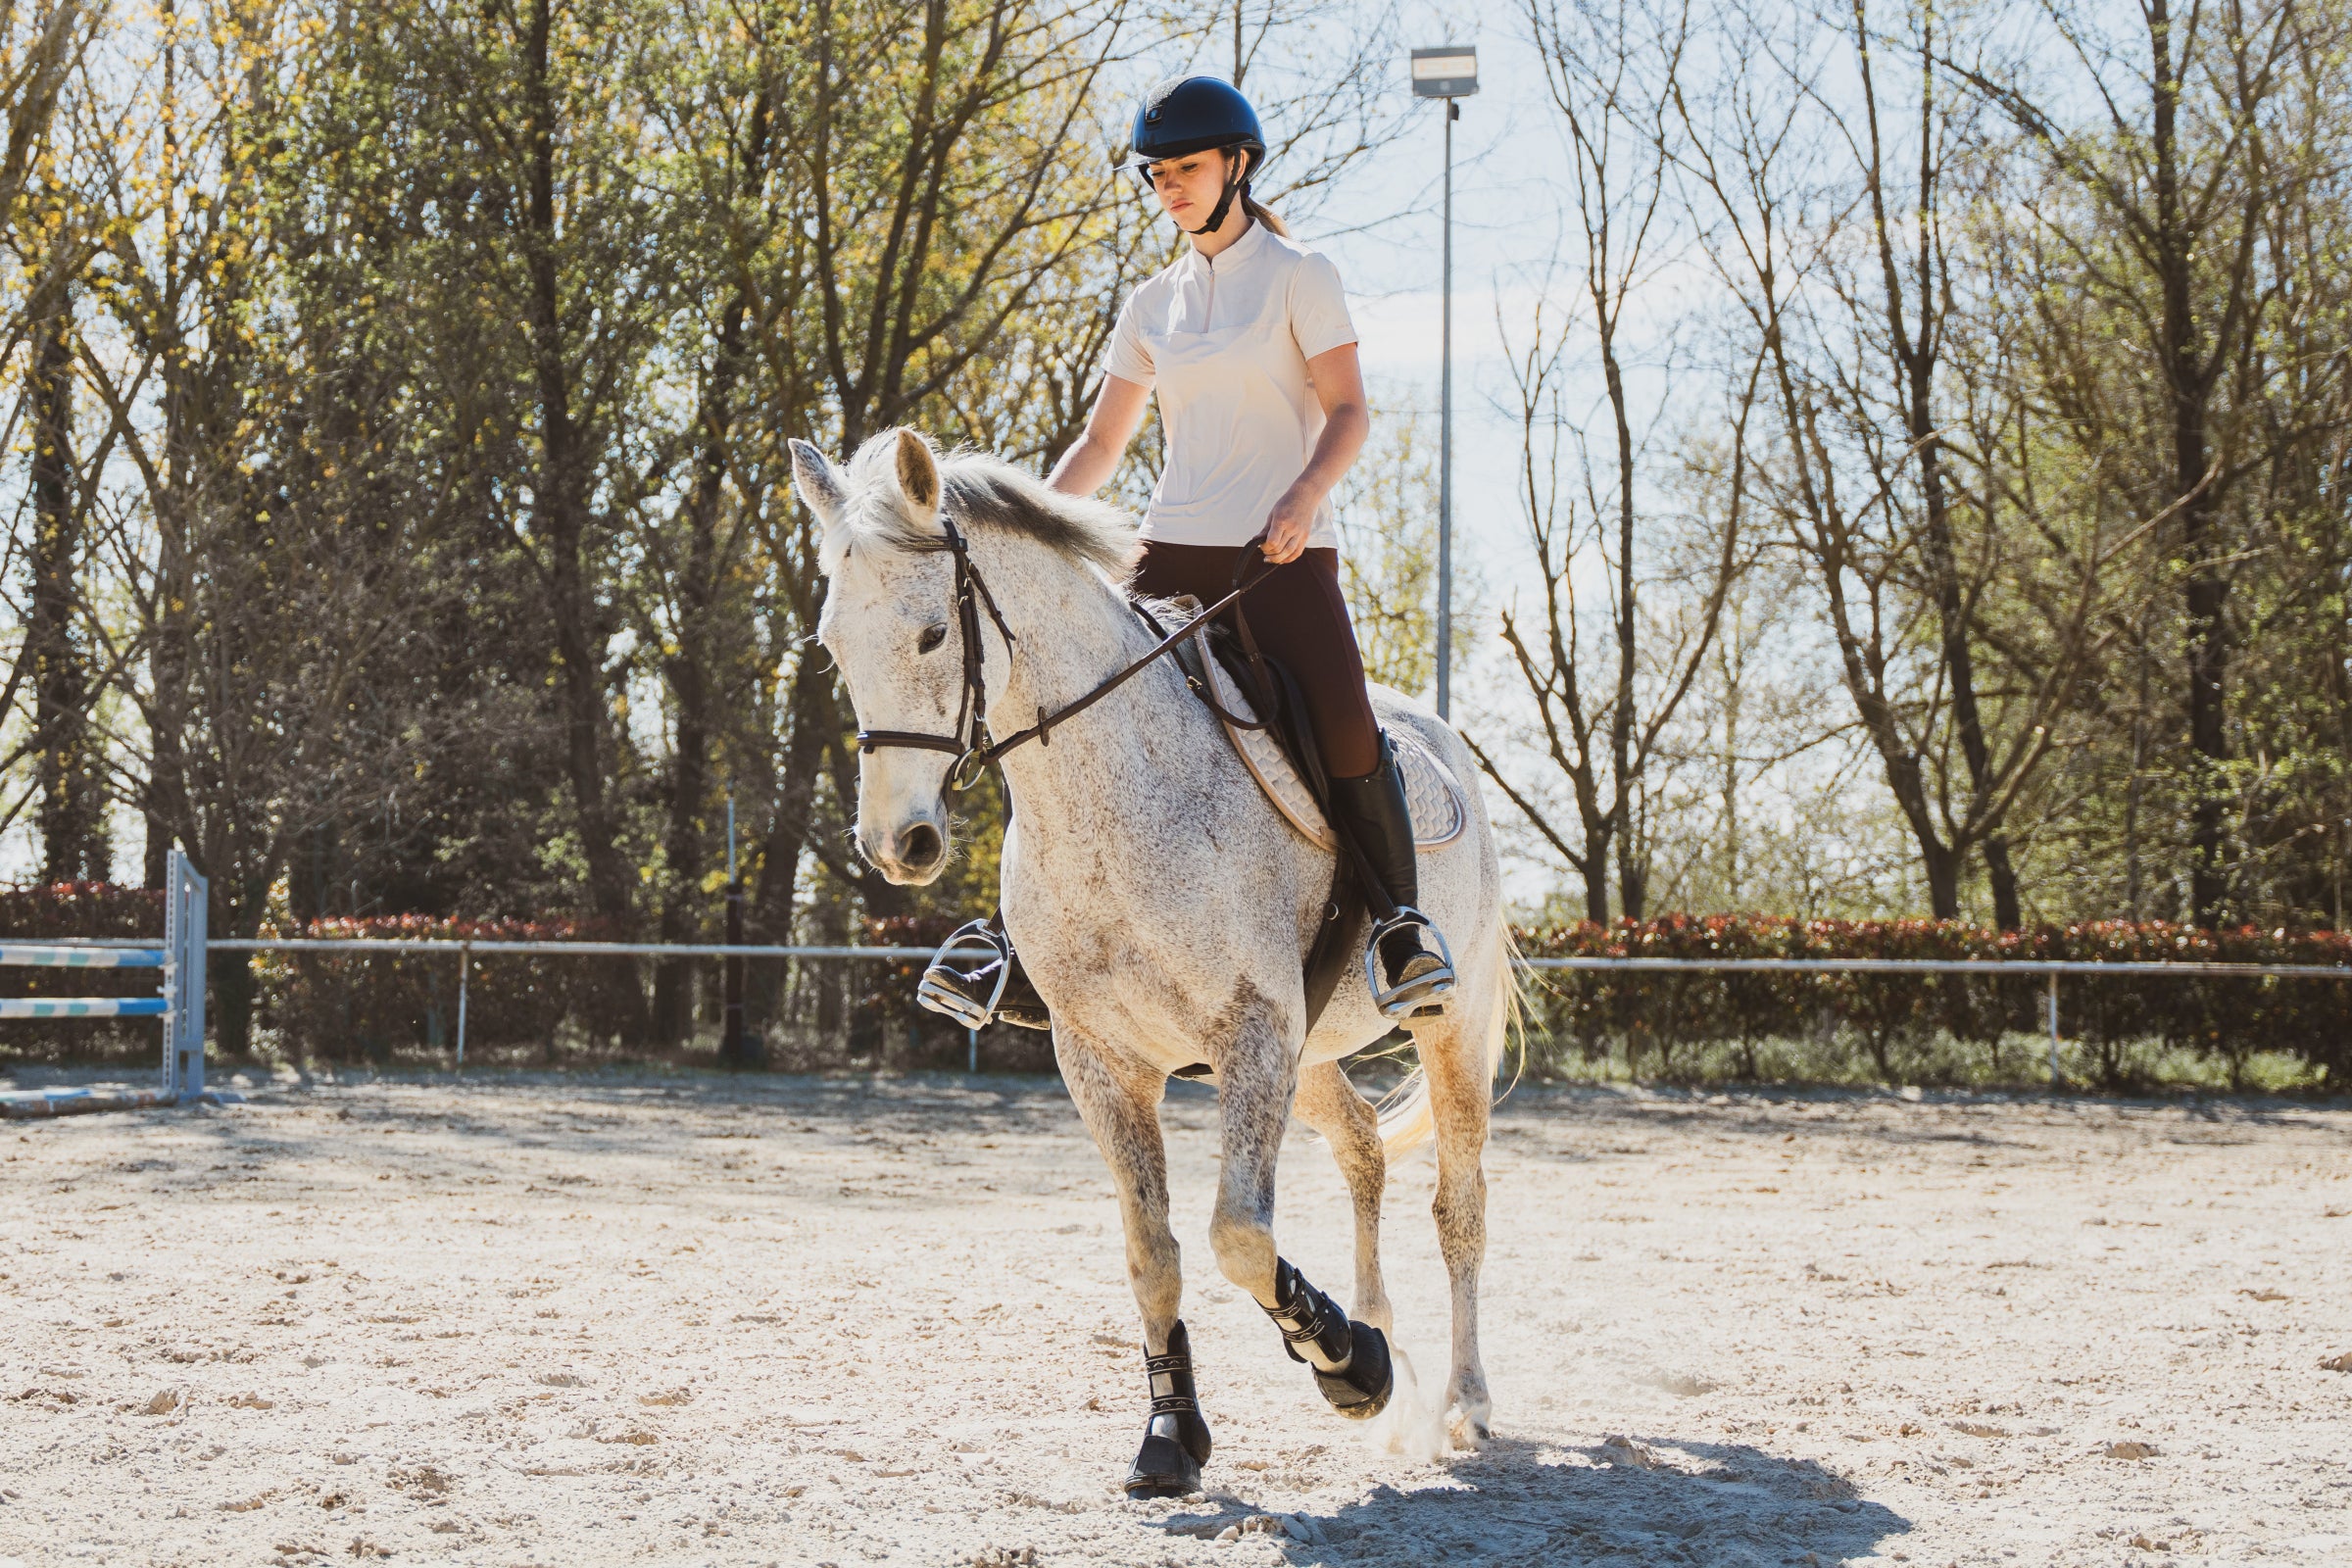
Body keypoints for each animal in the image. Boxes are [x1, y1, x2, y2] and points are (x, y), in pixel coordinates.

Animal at [792, 427, 1515, 1495]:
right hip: (1310, 1053)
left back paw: (1460, 1397)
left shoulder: (1251, 1034)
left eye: (929, 637)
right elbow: (1154, 1251)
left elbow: (1238, 1237)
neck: (1106, 796)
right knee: (1363, 1149)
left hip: (1447, 1030)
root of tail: (1443, 738)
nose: (899, 845)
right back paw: (1382, 1334)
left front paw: (1348, 1364)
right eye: (835, 646)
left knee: (1459, 1205)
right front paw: (1175, 1434)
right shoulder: (1103, 1058)